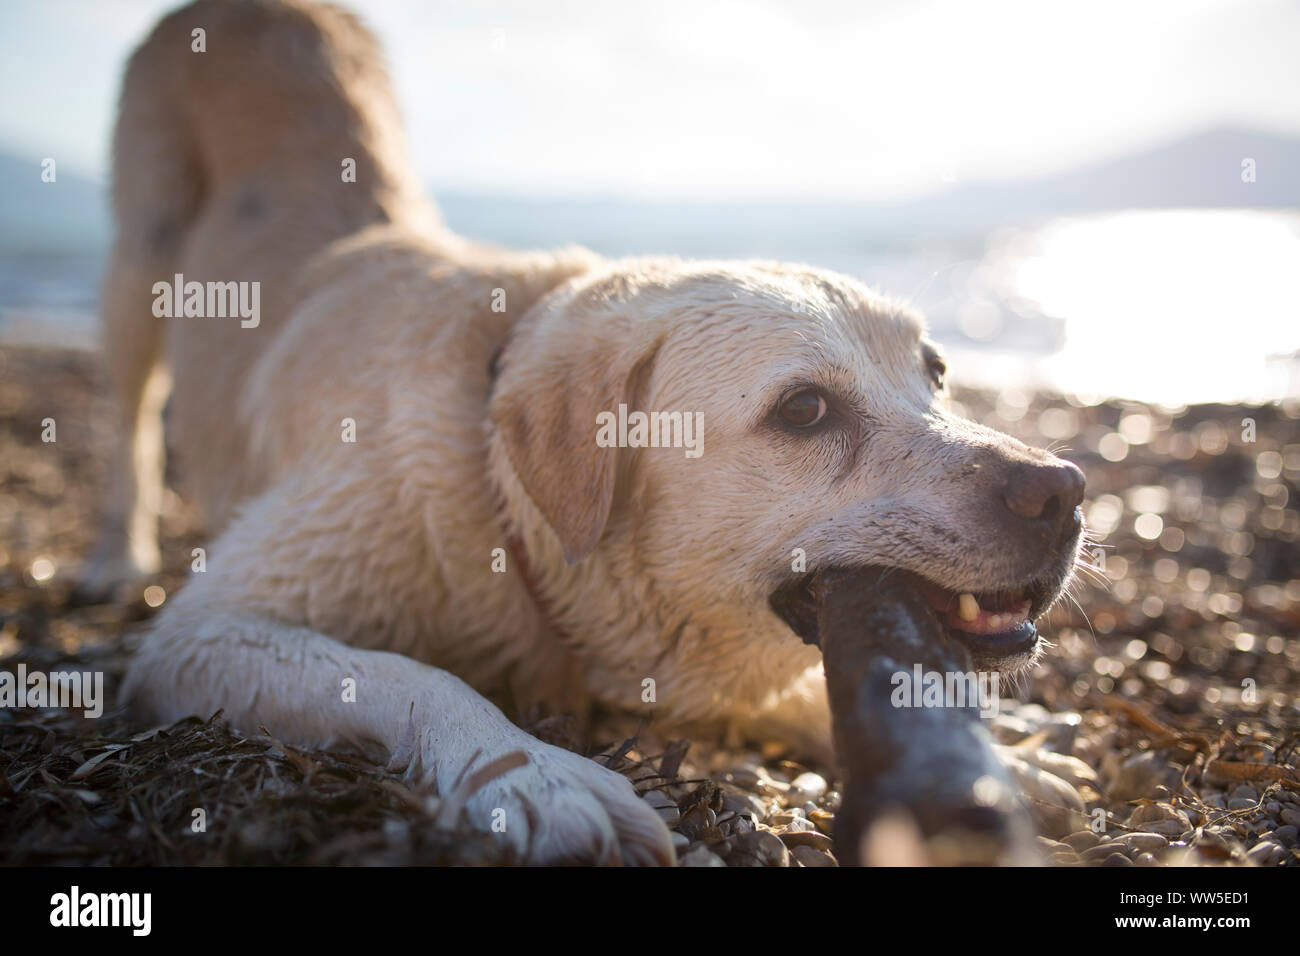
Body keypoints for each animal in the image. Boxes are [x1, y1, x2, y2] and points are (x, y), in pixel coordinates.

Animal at [89, 1, 1086, 868]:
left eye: (937, 373)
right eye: (804, 410)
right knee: (129, 407)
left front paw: (1012, 763)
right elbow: (411, 674)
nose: (1065, 492)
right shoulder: (198, 638)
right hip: (140, 262)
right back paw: (116, 555)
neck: (502, 499)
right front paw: (528, 773)